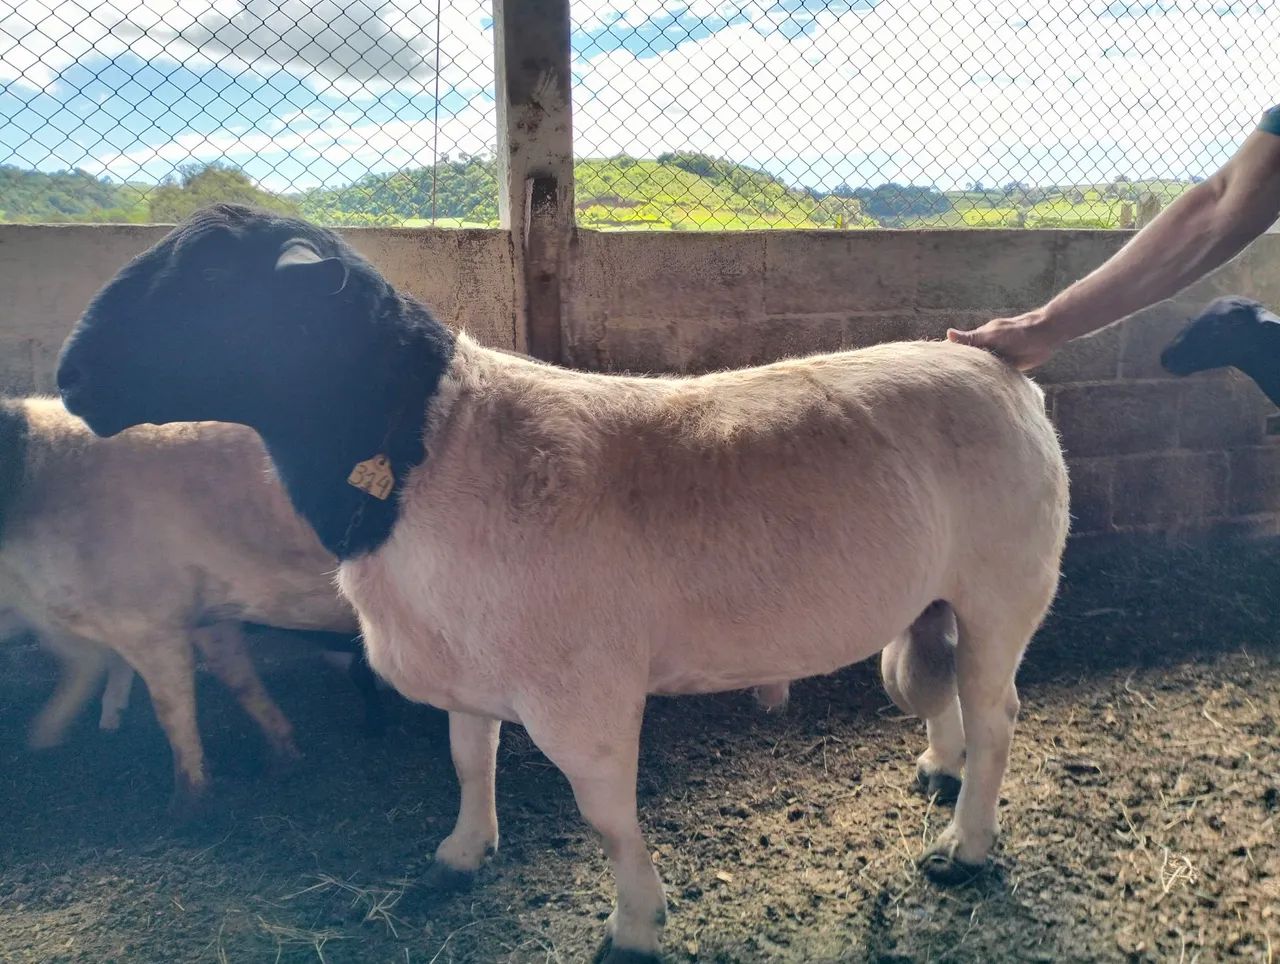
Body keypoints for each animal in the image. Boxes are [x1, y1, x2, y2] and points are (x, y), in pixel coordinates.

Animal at [0, 396, 366, 811]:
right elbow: (238, 679)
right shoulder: (210, 614)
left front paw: (185, 806)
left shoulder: (146, 622)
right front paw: (282, 762)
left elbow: (170, 710)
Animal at [57, 204, 1069, 961]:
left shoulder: (581, 691)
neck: (430, 445)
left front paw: (635, 926)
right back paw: (941, 771)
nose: (70, 376)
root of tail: (993, 360)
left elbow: (606, 816)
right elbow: (469, 761)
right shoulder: (466, 657)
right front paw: (460, 855)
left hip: (1007, 584)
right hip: (939, 594)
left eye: (213, 282)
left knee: (997, 713)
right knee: (945, 686)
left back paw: (966, 846)